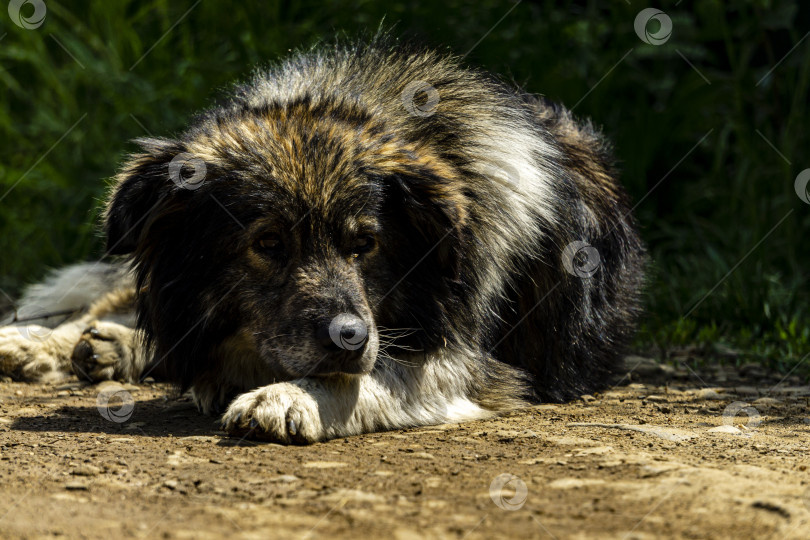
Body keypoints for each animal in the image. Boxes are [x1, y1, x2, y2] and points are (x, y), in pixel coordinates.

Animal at [0, 34, 644, 442]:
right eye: (268, 244)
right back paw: (45, 342)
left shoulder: (469, 360)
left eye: (366, 245)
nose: (351, 337)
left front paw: (292, 395)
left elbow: (372, 376)